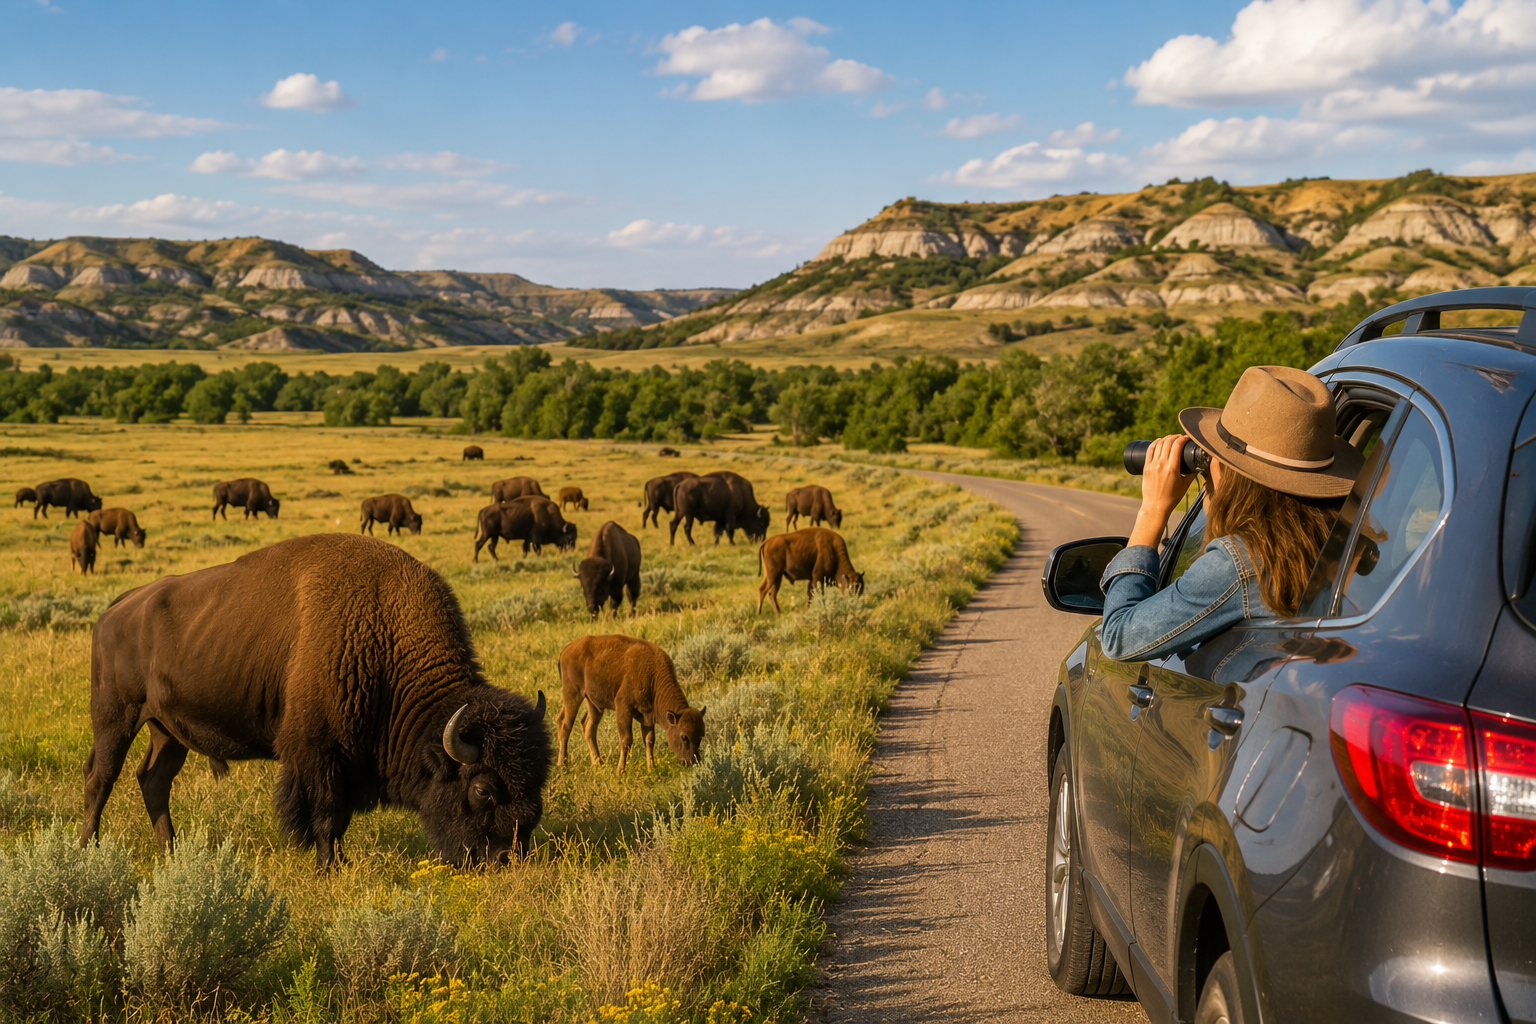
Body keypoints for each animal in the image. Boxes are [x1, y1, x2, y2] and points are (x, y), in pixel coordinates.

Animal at [80, 534, 552, 869]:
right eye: (483, 789)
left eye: (538, 782)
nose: (508, 859)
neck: (382, 632)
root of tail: (117, 608)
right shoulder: (318, 752)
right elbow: (326, 815)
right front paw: (331, 866)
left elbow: (335, 816)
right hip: (116, 717)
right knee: (100, 778)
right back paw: (88, 849)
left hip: (166, 730)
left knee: (153, 780)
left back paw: (172, 853)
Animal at [557, 634, 705, 773]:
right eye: (684, 736)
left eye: (701, 735)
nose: (692, 762)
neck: (653, 676)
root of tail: (566, 650)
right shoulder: (623, 708)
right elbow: (627, 740)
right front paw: (620, 771)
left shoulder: (647, 716)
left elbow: (649, 740)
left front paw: (651, 768)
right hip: (573, 695)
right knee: (565, 725)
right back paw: (563, 764)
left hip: (593, 704)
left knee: (588, 727)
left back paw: (598, 763)